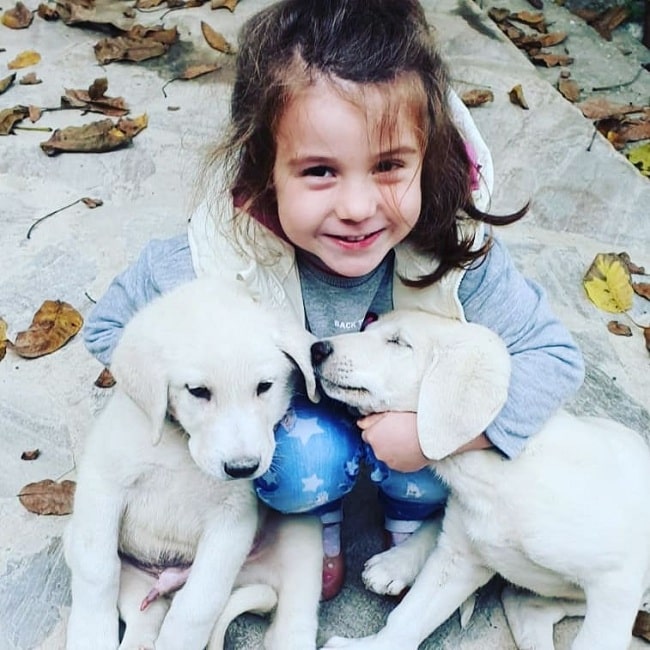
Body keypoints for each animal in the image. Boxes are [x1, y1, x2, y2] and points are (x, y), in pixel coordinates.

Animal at [63, 278, 322, 648]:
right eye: (198, 391)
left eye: (264, 387)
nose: (243, 468)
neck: (182, 447)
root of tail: (169, 579)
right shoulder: (103, 485)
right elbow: (97, 571)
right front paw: (90, 637)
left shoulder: (232, 520)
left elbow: (197, 605)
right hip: (87, 544)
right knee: (147, 613)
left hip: (302, 538)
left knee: (292, 618)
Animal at [310, 308, 650, 648]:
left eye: (398, 342)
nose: (317, 349)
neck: (496, 474)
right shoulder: (461, 558)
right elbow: (408, 618)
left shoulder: (615, 586)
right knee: (521, 604)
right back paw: (395, 563)